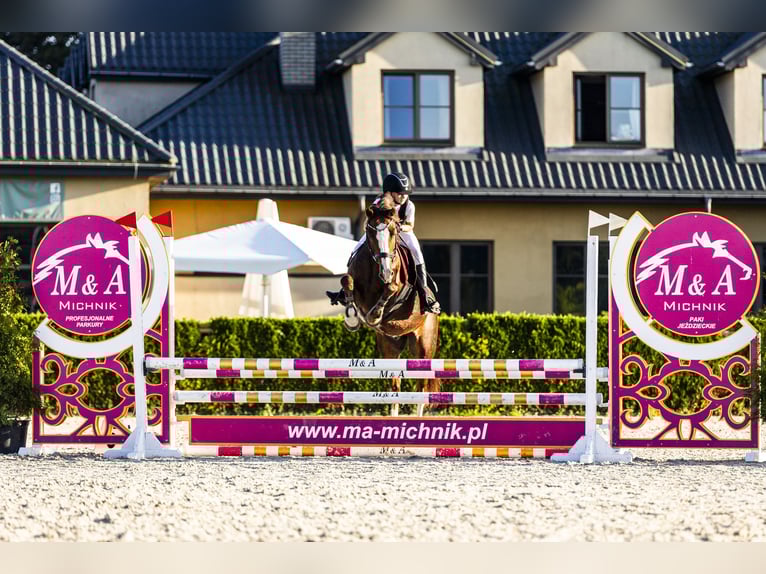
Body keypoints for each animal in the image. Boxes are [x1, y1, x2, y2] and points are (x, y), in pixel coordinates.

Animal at [338, 192, 440, 416]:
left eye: (393, 232)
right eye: (370, 231)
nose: (385, 271)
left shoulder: (397, 289)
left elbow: (390, 289)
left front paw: (374, 315)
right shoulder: (355, 280)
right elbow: (347, 281)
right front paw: (352, 317)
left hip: (423, 345)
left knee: (421, 386)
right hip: (390, 347)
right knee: (394, 385)